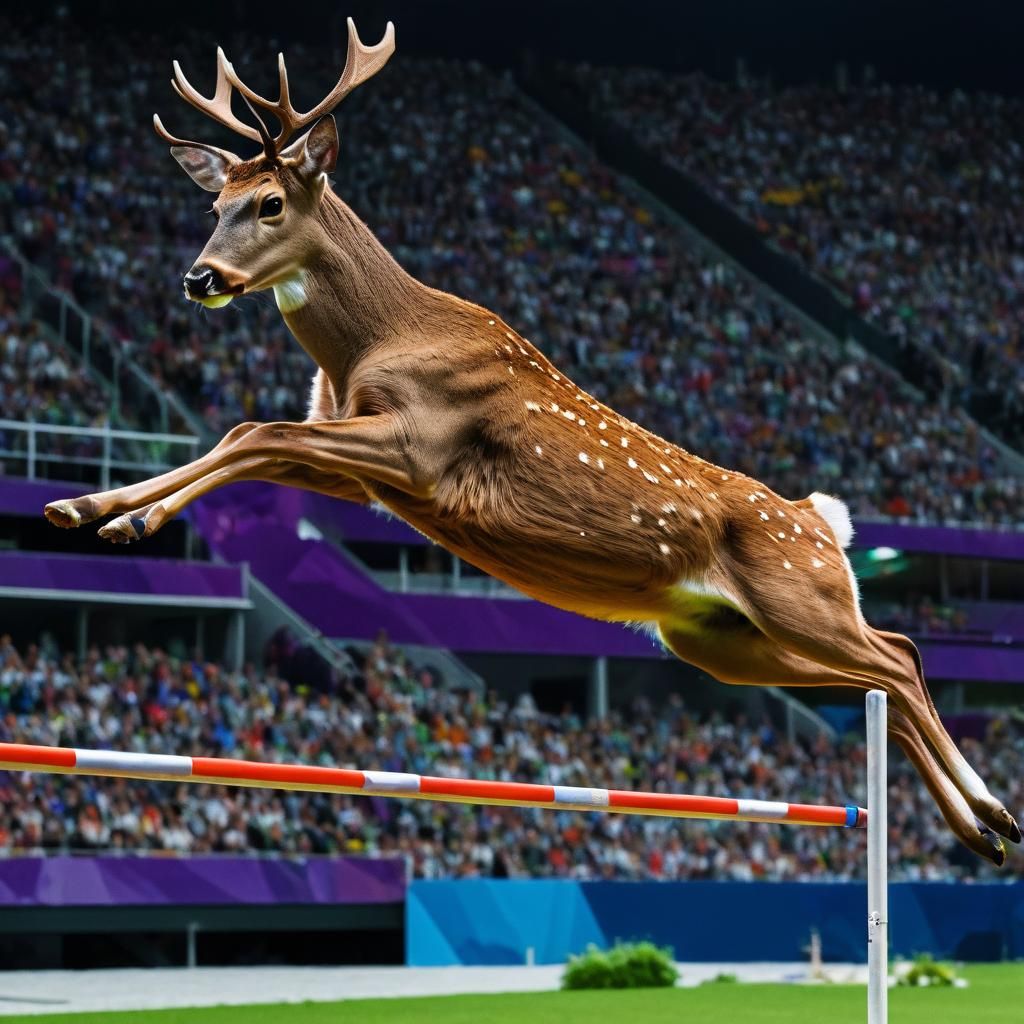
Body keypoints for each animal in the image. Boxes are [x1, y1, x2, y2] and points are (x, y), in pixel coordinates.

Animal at [43, 18, 1018, 866]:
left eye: (271, 202)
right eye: (217, 200)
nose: (198, 277)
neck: (374, 341)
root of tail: (826, 518)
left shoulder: (419, 445)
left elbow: (253, 428)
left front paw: (118, 517)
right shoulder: (361, 465)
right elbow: (248, 435)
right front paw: (88, 506)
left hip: (799, 595)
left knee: (900, 657)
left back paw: (993, 816)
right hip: (720, 640)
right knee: (883, 675)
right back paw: (980, 829)